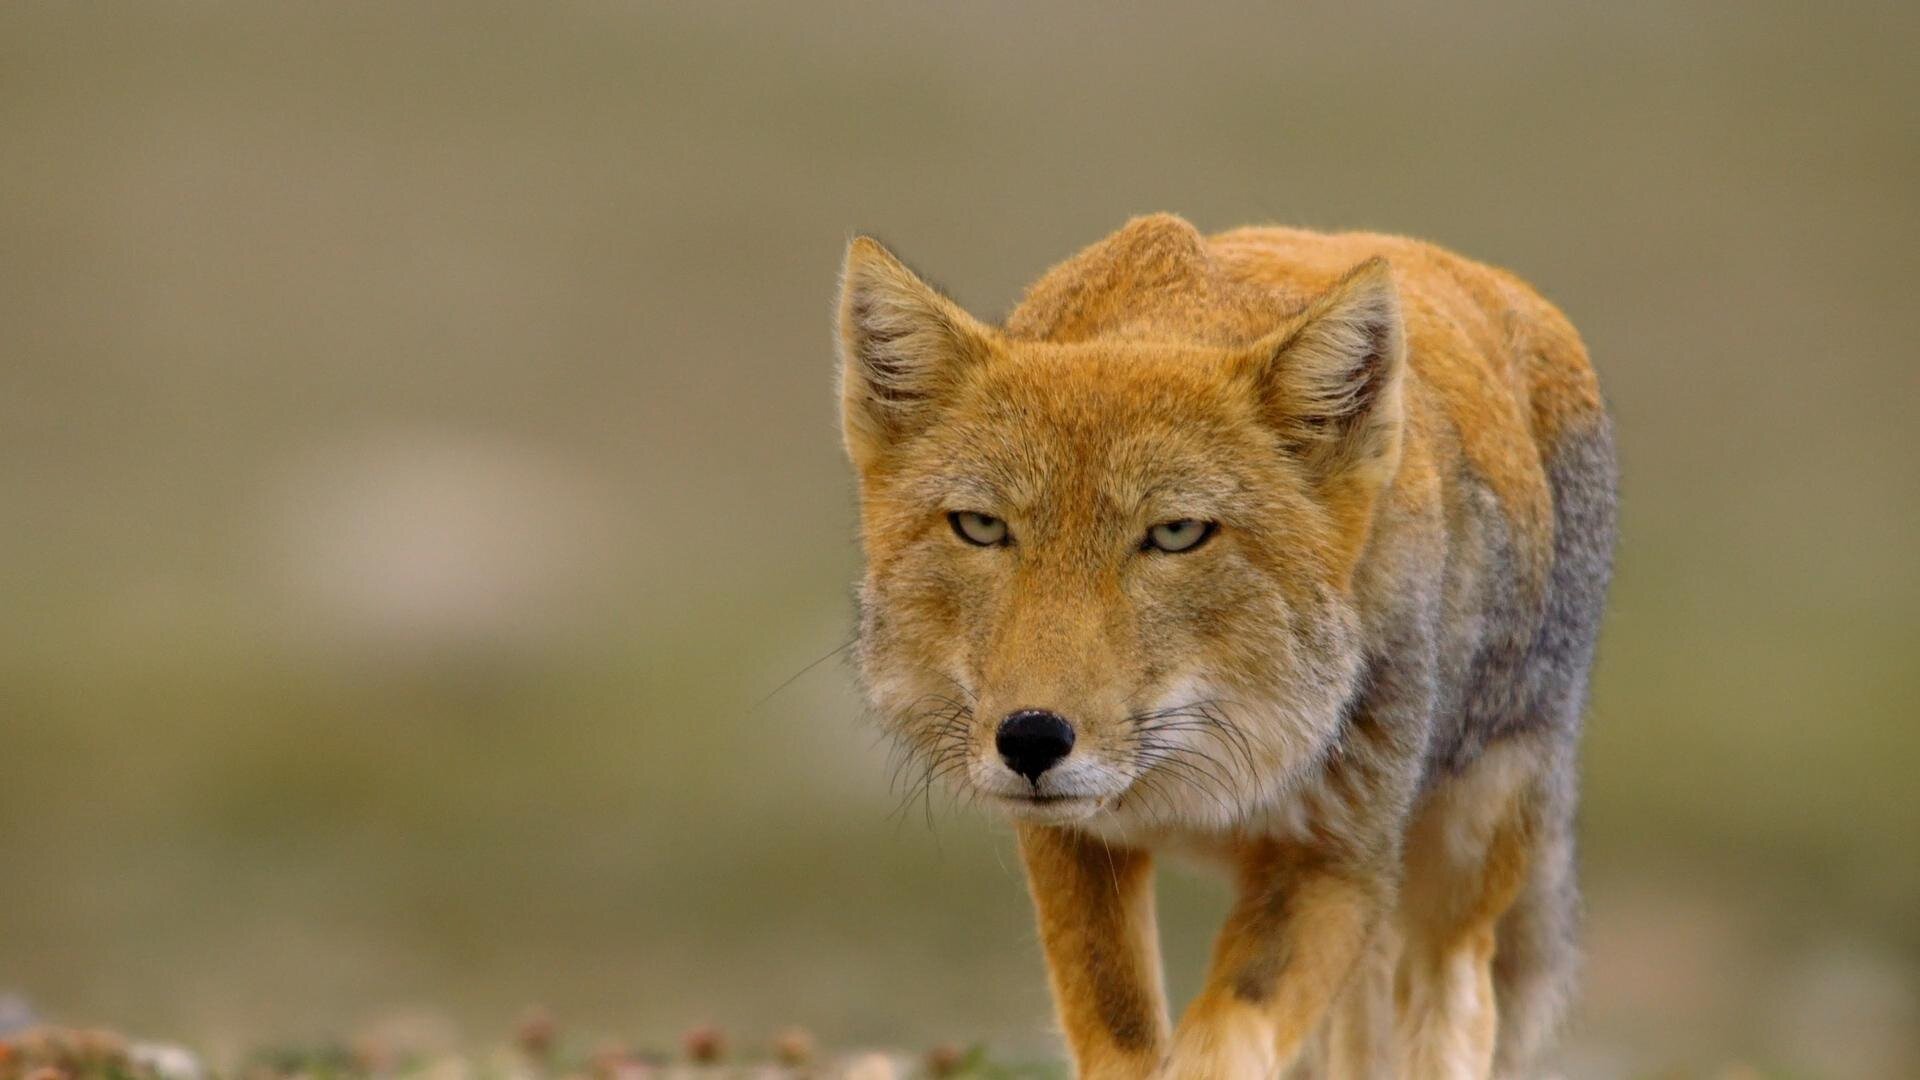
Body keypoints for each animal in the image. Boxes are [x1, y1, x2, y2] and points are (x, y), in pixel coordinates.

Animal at [833, 212, 1612, 1076]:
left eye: (1176, 534)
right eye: (980, 527)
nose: (1031, 739)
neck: (1192, 791)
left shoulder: (1337, 859)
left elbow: (1223, 1040)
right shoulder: (1071, 844)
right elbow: (1123, 1038)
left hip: (1452, 875)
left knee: (1454, 1003)